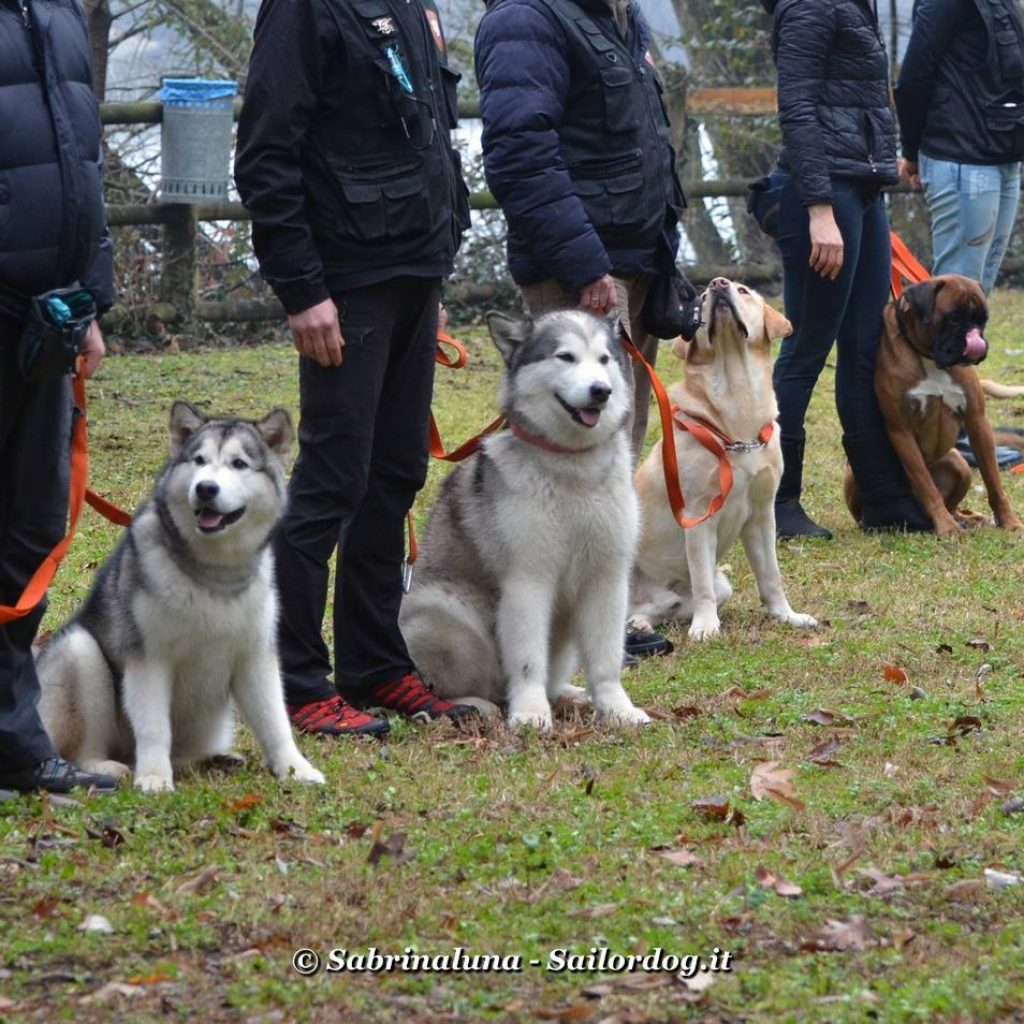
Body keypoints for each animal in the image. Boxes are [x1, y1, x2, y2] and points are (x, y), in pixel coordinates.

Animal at [36, 399, 323, 790]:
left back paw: (214, 758)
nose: (206, 489)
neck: (214, 574)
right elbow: (154, 727)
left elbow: (275, 721)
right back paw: (106, 767)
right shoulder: (149, 659)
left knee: (186, 752)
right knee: (83, 744)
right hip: (78, 654)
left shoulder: (255, 657)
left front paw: (295, 768)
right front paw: (155, 778)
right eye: (199, 460)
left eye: (239, 464)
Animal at [397, 307, 647, 733]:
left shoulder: (607, 577)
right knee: (457, 687)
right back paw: (476, 706)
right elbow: (529, 660)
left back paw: (570, 694)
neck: (571, 466)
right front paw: (530, 713)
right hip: (447, 612)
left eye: (604, 359)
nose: (601, 391)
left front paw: (617, 709)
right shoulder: (527, 580)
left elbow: (606, 659)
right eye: (565, 357)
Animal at [630, 274, 815, 638]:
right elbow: (701, 582)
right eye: (702, 298)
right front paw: (705, 627)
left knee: (662, 610)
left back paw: (641, 622)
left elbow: (771, 576)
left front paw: (786, 615)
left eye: (743, 291)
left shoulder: (761, 514)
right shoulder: (698, 515)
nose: (717, 283)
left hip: (721, 585)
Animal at [843, 276, 1019, 540]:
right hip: (856, 476)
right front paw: (945, 526)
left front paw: (1008, 520)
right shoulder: (901, 431)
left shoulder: (977, 421)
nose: (975, 339)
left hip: (960, 463)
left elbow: (993, 479)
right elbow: (925, 484)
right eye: (954, 319)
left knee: (955, 505)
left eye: (983, 320)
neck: (928, 357)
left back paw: (970, 519)